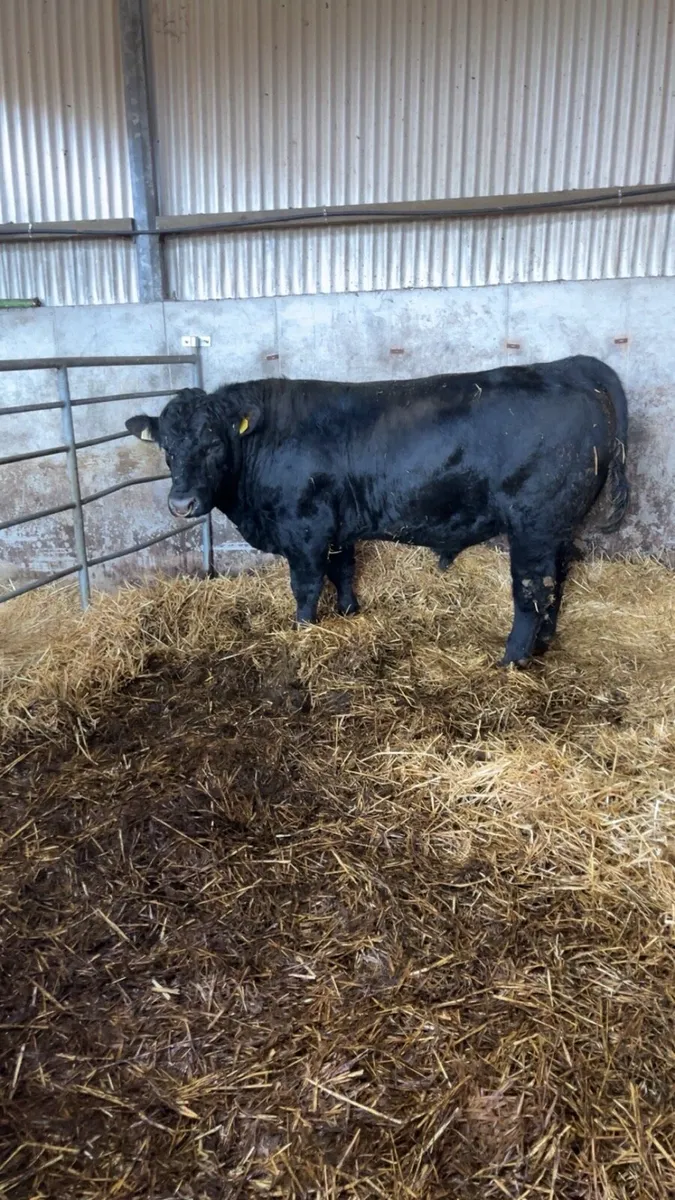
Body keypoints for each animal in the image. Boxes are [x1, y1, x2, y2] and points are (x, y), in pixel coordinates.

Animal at [126, 355, 629, 666]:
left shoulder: (304, 528)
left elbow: (306, 586)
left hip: (534, 525)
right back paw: (542, 645)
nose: (181, 504)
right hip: (558, 527)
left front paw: (303, 630)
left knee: (532, 591)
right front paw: (349, 612)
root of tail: (570, 366)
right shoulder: (335, 526)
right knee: (557, 583)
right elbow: (344, 569)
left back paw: (511, 660)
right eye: (167, 448)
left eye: (213, 444)